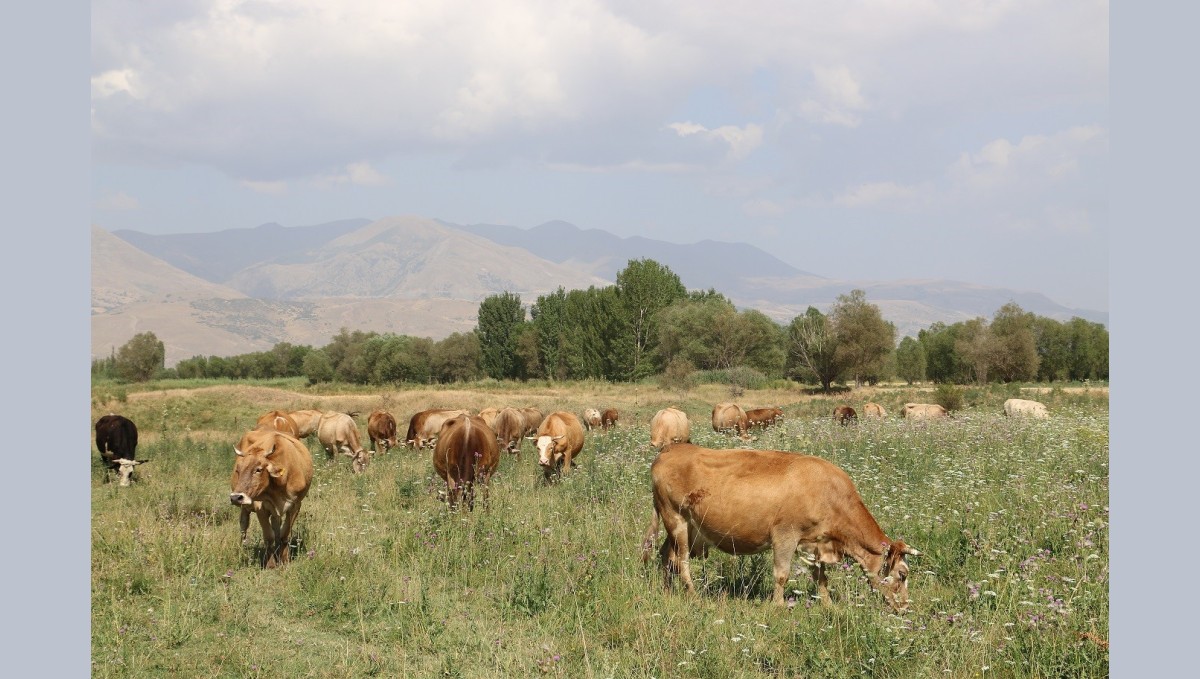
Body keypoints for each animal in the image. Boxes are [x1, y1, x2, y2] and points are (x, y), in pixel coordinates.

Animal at [228, 431, 314, 568]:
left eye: (258, 469)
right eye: (238, 469)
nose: (236, 497)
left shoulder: (295, 505)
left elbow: (284, 534)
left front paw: (284, 560)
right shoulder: (260, 507)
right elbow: (269, 537)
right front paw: (271, 564)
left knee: (276, 525)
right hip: (245, 507)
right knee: (244, 524)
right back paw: (243, 548)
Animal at [648, 443, 916, 614]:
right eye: (902, 574)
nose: (905, 607)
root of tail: (671, 449)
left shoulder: (815, 542)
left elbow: (821, 578)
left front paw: (828, 606)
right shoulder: (786, 535)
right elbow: (782, 574)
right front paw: (777, 606)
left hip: (679, 528)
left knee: (666, 556)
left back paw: (667, 591)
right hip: (676, 519)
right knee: (681, 561)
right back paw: (694, 597)